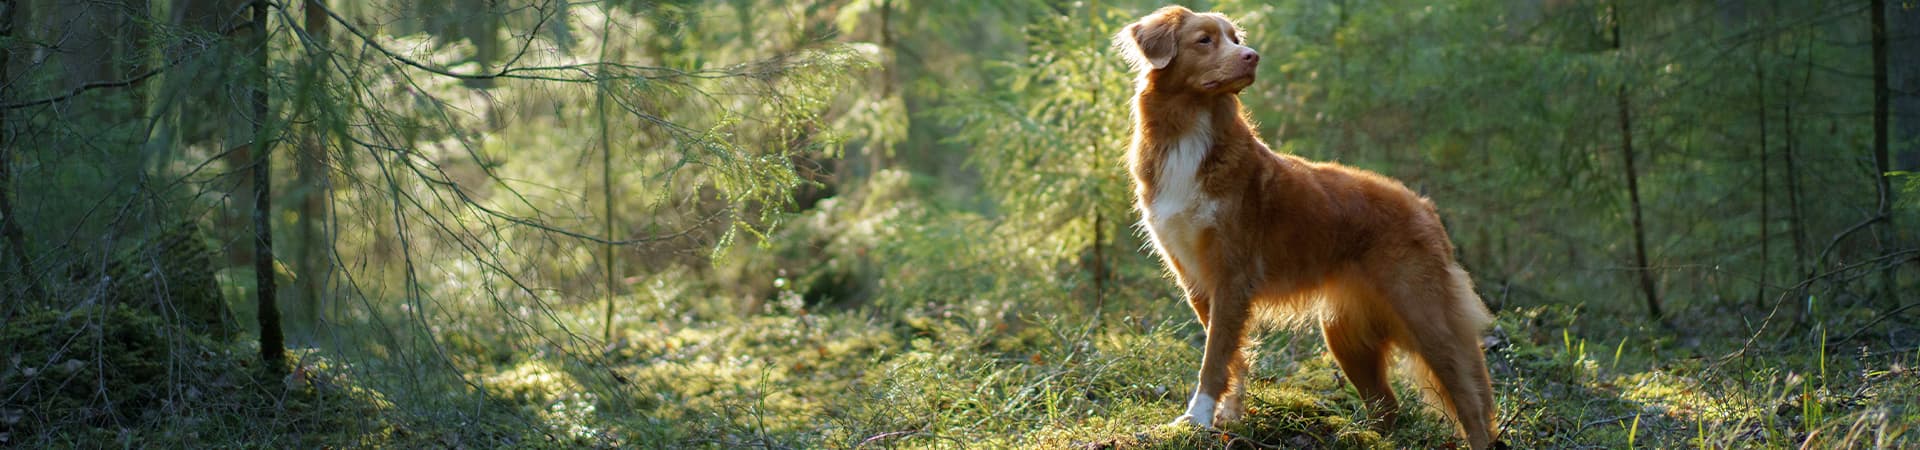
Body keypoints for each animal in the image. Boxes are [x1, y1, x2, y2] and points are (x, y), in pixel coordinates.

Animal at [1113, 7, 1497, 450]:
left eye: (1235, 38)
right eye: (1205, 40)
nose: (1252, 57)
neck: (1191, 129)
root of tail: (1424, 207)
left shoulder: (1231, 274)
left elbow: (1215, 357)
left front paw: (1198, 417)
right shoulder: (1196, 278)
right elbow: (1231, 355)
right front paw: (1228, 416)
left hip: (1424, 317)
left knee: (1469, 401)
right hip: (1344, 334)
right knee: (1388, 407)